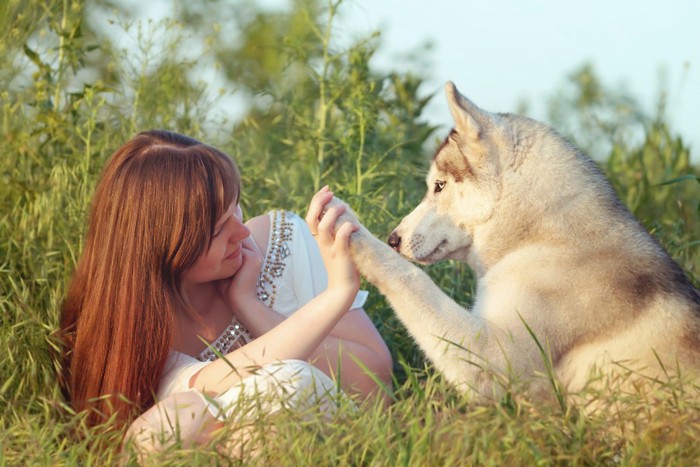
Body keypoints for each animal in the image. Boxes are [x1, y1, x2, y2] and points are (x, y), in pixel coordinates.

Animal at [330, 81, 700, 402]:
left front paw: (353, 233)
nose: (394, 238)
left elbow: (409, 276)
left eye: (439, 186)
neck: (543, 239)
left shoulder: (492, 359)